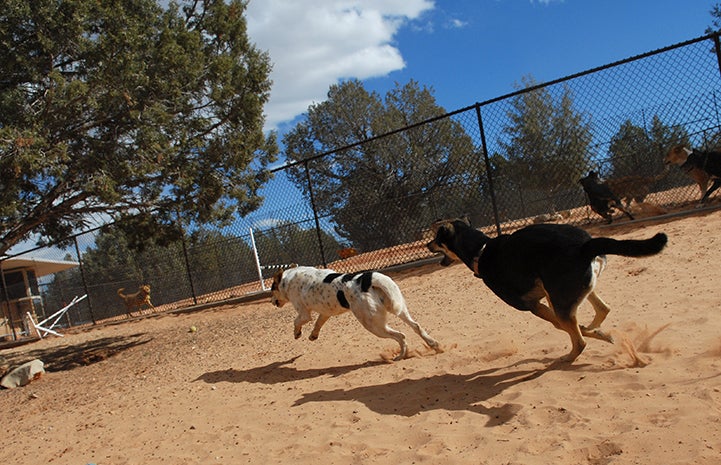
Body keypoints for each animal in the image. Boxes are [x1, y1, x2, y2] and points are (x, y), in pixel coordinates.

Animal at [268, 264, 438, 358]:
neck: (287, 279)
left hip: (373, 325)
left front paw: (297, 334)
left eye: (271, 290)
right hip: (399, 308)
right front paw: (313, 336)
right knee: (416, 327)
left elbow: (297, 322)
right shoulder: (325, 313)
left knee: (400, 336)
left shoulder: (304, 314)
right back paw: (433, 344)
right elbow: (318, 324)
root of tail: (366, 279)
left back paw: (402, 355)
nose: (271, 302)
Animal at [424, 218, 668, 362]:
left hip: (562, 298)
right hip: (576, 290)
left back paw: (568, 356)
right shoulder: (548, 297)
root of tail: (584, 245)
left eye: (436, 238)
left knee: (579, 341)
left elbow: (559, 325)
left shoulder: (531, 304)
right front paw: (601, 334)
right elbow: (568, 325)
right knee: (603, 309)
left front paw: (592, 333)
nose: (427, 244)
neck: (480, 251)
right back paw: (595, 331)